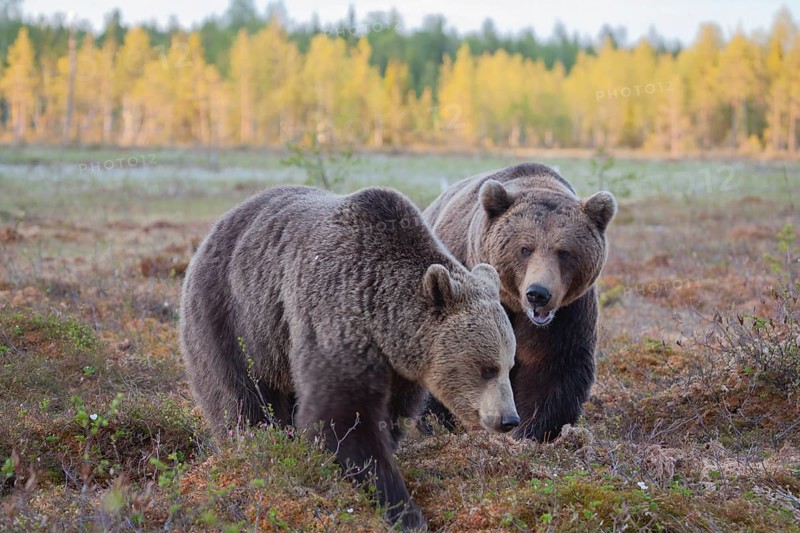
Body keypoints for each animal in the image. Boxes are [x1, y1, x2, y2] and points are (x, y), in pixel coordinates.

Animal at [179, 185, 519, 529]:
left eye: (509, 365)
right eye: (487, 368)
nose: (509, 419)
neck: (382, 321)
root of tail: (211, 234)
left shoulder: (399, 367)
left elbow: (387, 415)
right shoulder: (337, 317)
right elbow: (342, 417)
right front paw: (404, 510)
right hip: (234, 321)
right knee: (243, 401)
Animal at [423, 163, 616, 442]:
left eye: (564, 252)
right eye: (525, 248)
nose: (538, 293)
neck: (512, 304)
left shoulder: (566, 316)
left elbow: (550, 369)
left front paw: (529, 433)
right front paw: (441, 424)